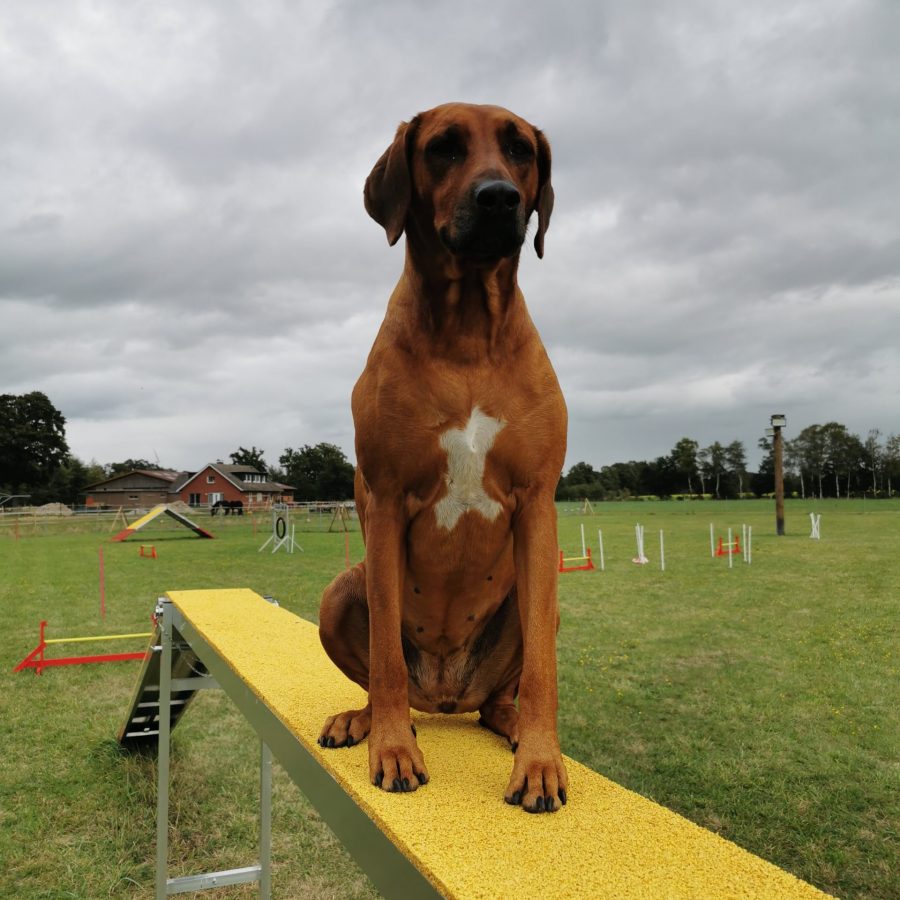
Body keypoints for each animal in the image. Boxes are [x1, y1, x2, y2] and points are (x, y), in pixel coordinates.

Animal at [320, 102, 568, 812]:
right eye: (443, 148)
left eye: (520, 149)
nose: (499, 197)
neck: (467, 331)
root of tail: (446, 694)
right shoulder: (385, 499)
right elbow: (385, 656)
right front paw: (393, 749)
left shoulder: (538, 504)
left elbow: (543, 672)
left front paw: (540, 761)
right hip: (340, 591)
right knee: (387, 679)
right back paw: (367, 720)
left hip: (538, 602)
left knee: (502, 696)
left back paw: (511, 724)